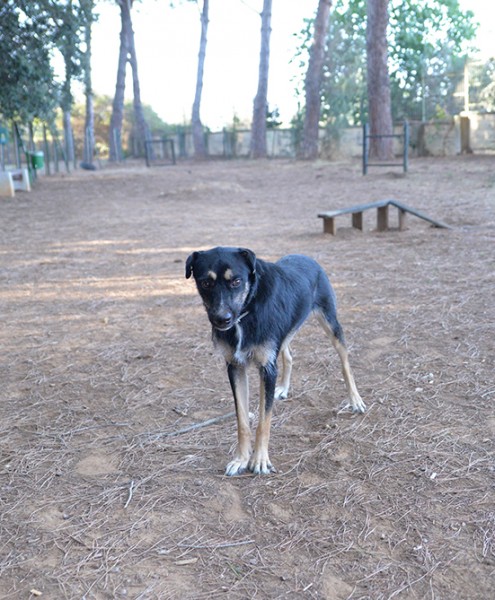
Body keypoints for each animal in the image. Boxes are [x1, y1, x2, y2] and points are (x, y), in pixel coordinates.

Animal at [185, 246, 364, 476]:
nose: (221, 319)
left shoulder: (267, 369)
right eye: (205, 283)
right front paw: (241, 459)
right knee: (288, 355)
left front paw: (260, 460)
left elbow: (264, 421)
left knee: (345, 362)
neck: (247, 310)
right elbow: (242, 421)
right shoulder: (235, 367)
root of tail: (306, 257)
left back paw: (355, 400)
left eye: (236, 281)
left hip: (330, 323)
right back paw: (283, 388)